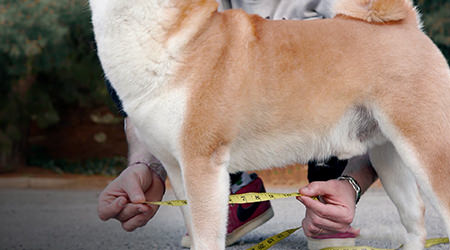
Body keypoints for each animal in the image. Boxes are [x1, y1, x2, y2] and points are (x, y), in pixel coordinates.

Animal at [89, 0, 450, 249]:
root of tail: (407, 26)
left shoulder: (202, 165)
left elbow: (206, 238)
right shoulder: (178, 170)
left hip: (428, 151)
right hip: (389, 154)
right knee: (415, 216)